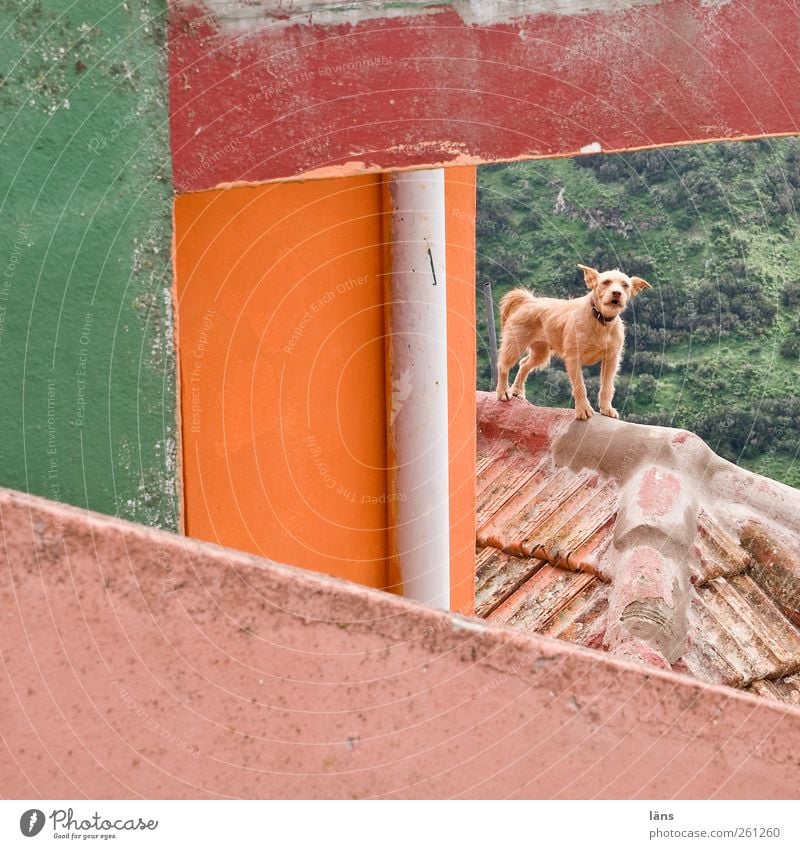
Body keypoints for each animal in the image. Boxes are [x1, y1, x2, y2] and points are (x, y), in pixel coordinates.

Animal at [496, 264, 652, 420]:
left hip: (540, 352)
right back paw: (503, 391)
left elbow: (607, 385)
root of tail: (529, 300)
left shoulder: (611, 358)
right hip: (514, 344)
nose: (617, 293)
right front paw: (583, 409)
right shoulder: (573, 357)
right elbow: (579, 385)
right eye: (606, 282)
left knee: (524, 364)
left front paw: (606, 408)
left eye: (625, 285)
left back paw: (517, 390)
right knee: (503, 365)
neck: (600, 321)